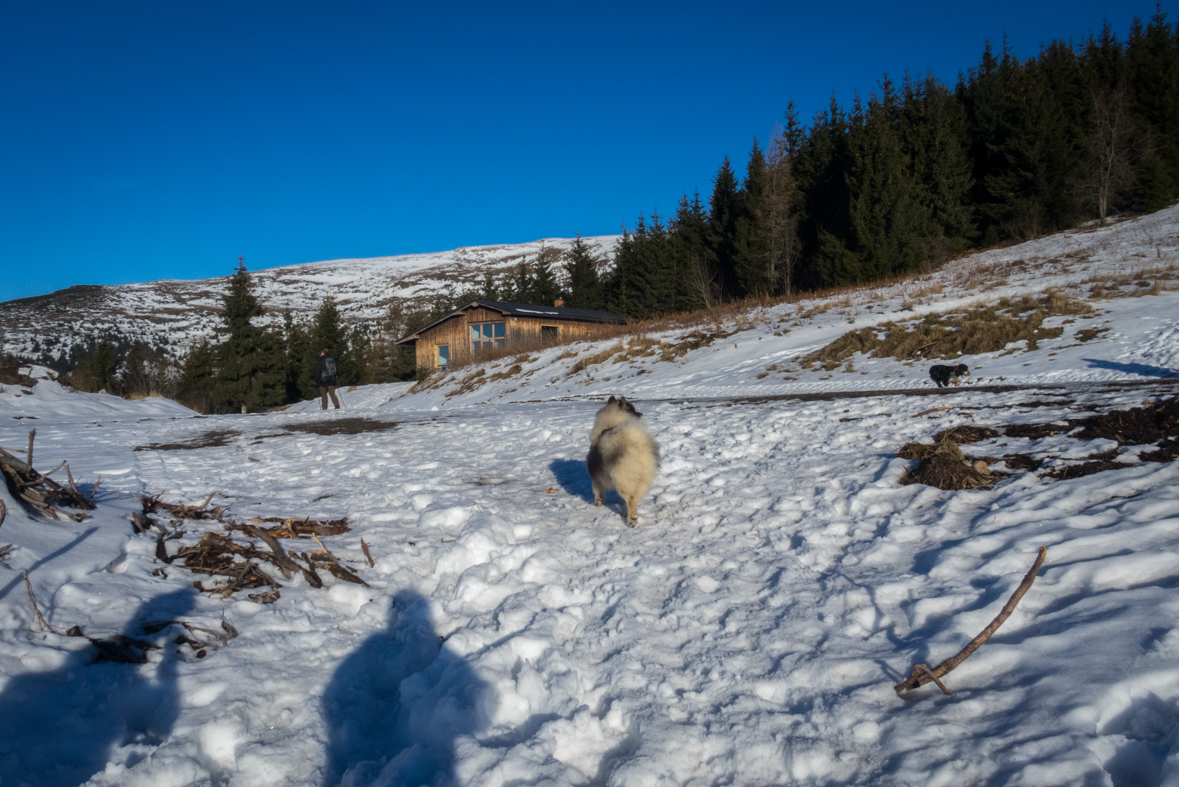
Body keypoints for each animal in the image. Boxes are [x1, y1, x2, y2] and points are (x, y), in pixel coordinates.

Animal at [584, 395, 660, 525]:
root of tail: (636, 442)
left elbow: (598, 494)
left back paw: (632, 520)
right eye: (633, 410)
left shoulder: (596, 480)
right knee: (635, 499)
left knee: (630, 499)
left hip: (621, 480)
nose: (641, 414)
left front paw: (598, 505)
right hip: (642, 479)